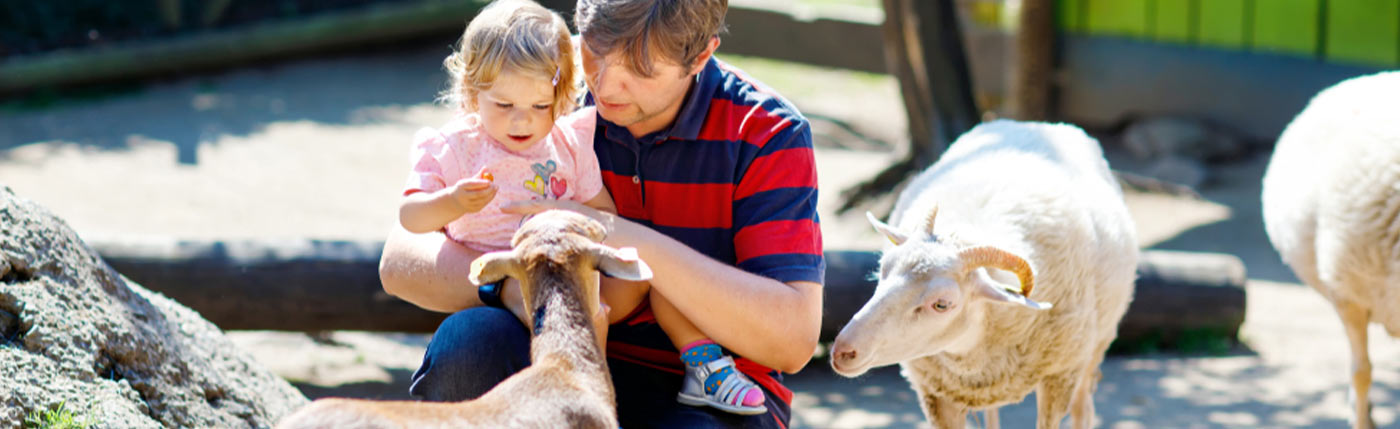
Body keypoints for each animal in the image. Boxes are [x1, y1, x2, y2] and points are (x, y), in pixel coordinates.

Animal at [828, 119, 1136, 426]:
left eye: (942, 304)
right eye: (882, 270)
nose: (843, 350)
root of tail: (1035, 123)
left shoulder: (1059, 377)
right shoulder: (937, 395)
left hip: (1094, 348)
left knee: (1083, 407)